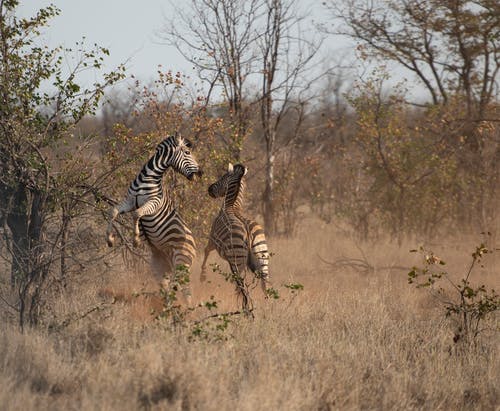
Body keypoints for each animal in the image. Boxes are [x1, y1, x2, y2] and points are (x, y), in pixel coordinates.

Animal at [106, 134, 202, 304]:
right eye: (187, 152)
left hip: (181, 262)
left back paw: (189, 309)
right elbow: (114, 211)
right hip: (160, 267)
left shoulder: (154, 202)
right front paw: (110, 239)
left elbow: (137, 214)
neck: (149, 177)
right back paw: (168, 306)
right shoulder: (130, 201)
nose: (200, 173)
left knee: (186, 290)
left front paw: (136, 240)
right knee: (167, 288)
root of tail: (194, 244)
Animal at [200, 163, 272, 310]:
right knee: (265, 285)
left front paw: (202, 276)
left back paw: (244, 308)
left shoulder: (212, 239)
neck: (232, 205)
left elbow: (205, 251)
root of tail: (249, 234)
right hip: (262, 255)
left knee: (242, 286)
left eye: (222, 177)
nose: (209, 189)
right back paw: (267, 308)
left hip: (238, 259)